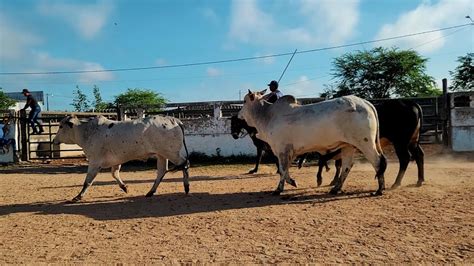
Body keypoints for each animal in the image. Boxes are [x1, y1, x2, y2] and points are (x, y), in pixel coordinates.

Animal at [52, 115, 190, 202]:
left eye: (61, 126)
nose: (54, 140)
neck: (88, 132)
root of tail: (174, 120)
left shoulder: (94, 162)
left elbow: (88, 181)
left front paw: (78, 197)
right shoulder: (116, 161)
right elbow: (115, 174)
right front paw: (124, 187)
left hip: (171, 153)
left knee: (185, 164)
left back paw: (186, 187)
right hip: (162, 155)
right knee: (162, 171)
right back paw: (150, 192)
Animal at [239, 90, 386, 196]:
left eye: (244, 101)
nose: (238, 114)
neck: (267, 116)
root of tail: (366, 103)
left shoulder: (282, 150)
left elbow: (282, 169)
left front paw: (279, 189)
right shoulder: (288, 152)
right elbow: (284, 170)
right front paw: (291, 182)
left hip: (365, 143)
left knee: (378, 162)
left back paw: (379, 189)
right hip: (348, 146)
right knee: (347, 166)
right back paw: (336, 188)